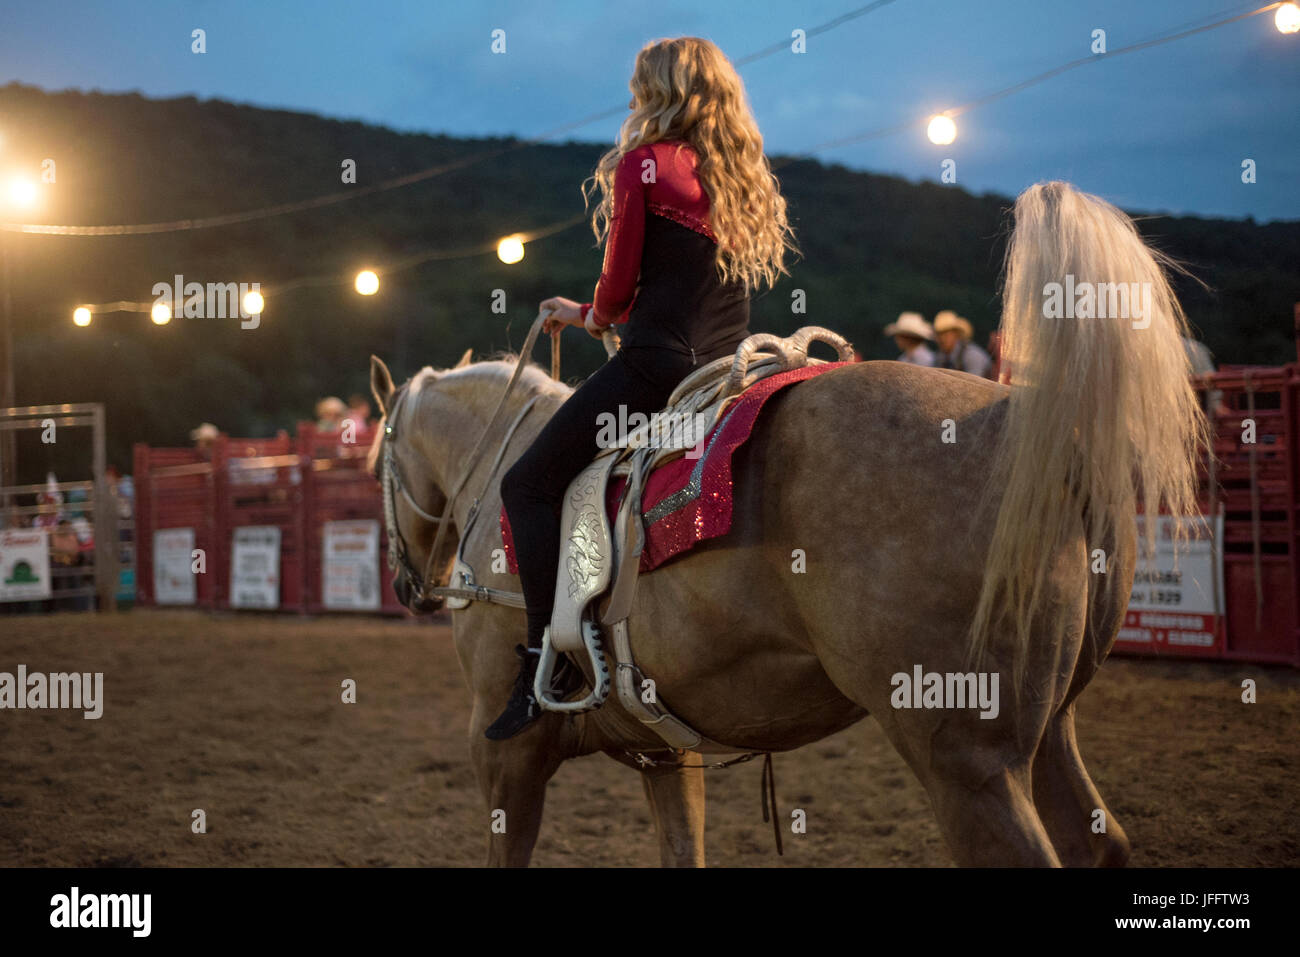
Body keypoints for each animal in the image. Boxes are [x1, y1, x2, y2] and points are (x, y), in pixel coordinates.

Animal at [369, 180, 1206, 868]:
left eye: (377, 458)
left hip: (969, 759)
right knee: (1098, 839)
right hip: (1053, 727)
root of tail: (1023, 421)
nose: (408, 585)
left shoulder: (503, 755)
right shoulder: (668, 754)